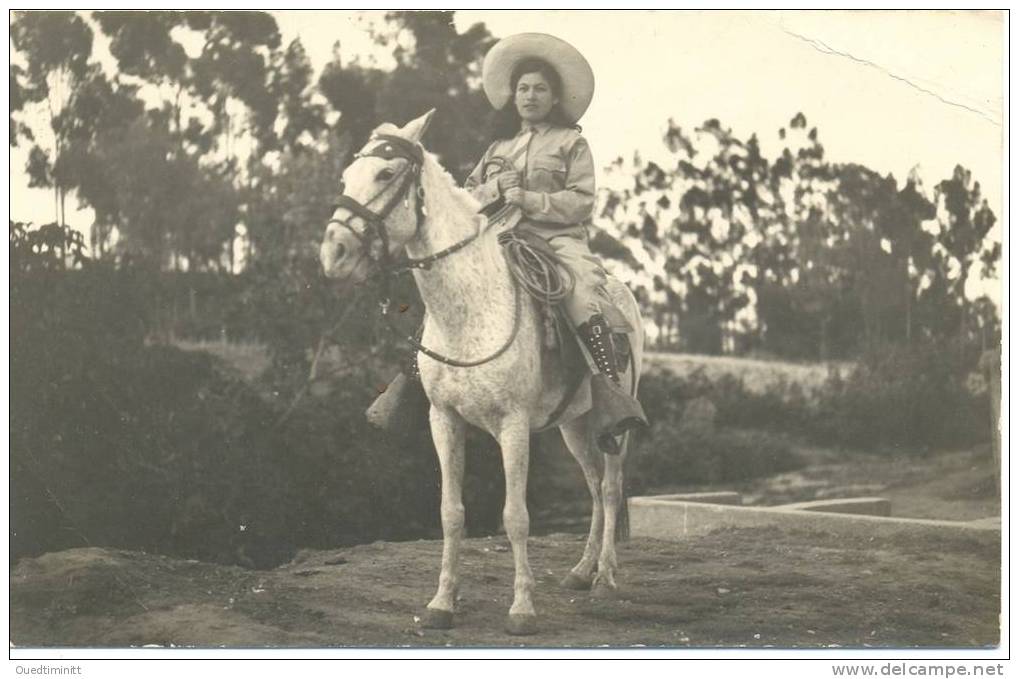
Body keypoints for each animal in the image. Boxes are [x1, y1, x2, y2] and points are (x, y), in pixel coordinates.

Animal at [319, 111, 644, 636]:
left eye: (386, 174)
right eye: (347, 177)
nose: (334, 254)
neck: (471, 309)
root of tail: (620, 294)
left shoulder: (513, 427)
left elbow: (516, 516)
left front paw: (522, 609)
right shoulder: (445, 420)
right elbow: (451, 512)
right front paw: (442, 603)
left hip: (611, 425)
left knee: (611, 488)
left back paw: (606, 578)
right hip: (574, 426)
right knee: (595, 487)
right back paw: (581, 571)